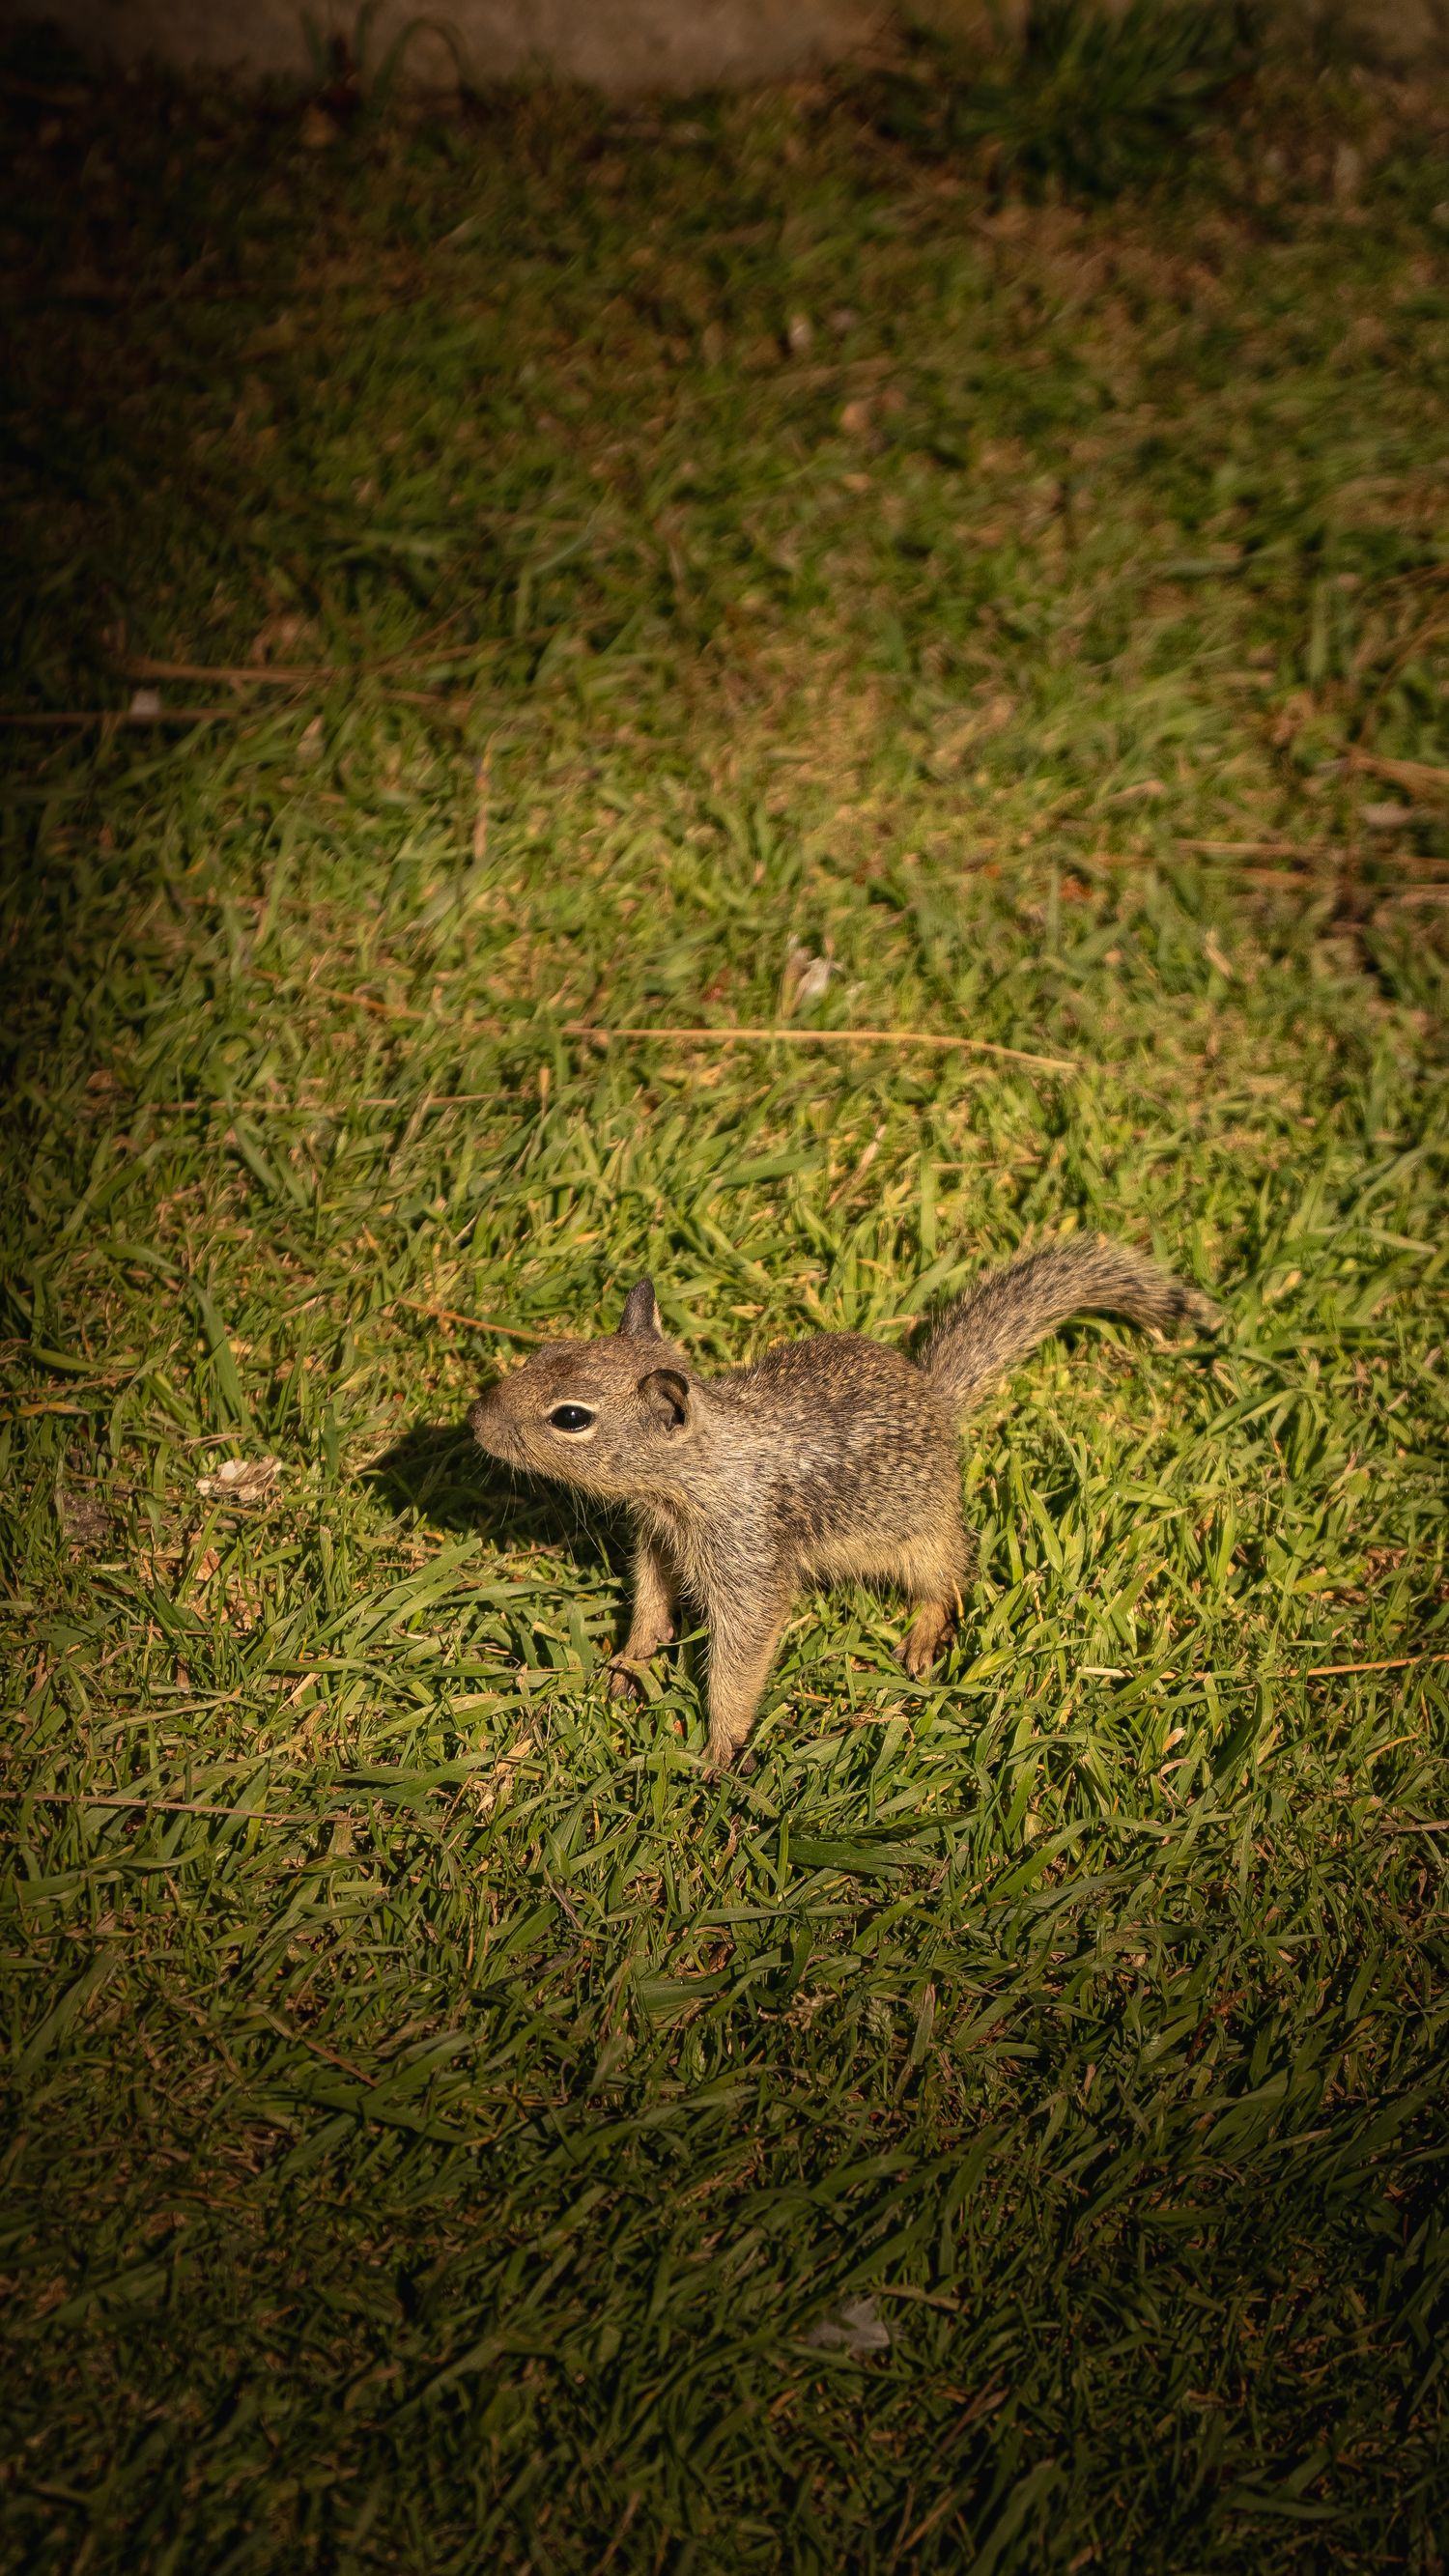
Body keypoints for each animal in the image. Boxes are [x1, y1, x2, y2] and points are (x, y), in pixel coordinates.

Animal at [468, 1235, 1219, 1772]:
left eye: (571, 1417)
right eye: (546, 1349)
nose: (475, 1418)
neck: (692, 1476)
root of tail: (937, 1396)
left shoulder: (749, 1562)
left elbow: (742, 1654)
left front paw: (716, 1749)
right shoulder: (656, 1540)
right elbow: (652, 1603)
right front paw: (632, 1663)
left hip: (919, 1535)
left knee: (950, 1573)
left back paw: (924, 1633)